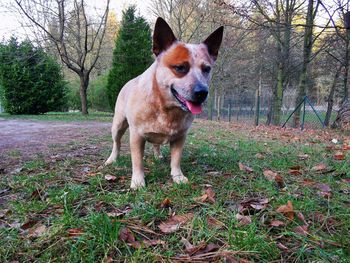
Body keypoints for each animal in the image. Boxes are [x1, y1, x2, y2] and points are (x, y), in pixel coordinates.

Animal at [104, 17, 224, 190]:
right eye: (180, 67)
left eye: (206, 69)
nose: (202, 92)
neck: (166, 108)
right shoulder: (136, 136)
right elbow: (137, 161)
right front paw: (138, 181)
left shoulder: (180, 137)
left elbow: (176, 159)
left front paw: (177, 176)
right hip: (118, 125)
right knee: (117, 142)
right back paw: (112, 159)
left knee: (156, 143)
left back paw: (158, 155)